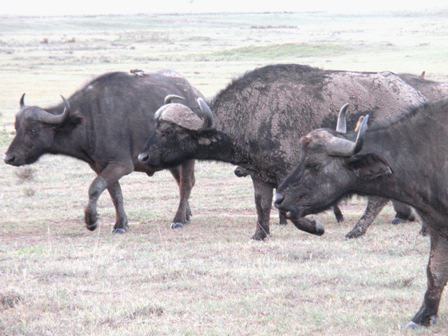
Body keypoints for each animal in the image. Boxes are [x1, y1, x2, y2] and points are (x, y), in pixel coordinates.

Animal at [3, 70, 203, 234]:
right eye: (17, 128)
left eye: (33, 130)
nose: (9, 157)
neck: (88, 118)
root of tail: (195, 95)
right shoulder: (100, 166)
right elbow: (115, 194)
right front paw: (120, 224)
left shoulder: (121, 165)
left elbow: (95, 188)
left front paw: (91, 220)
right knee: (182, 183)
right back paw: (186, 215)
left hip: (187, 158)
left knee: (186, 185)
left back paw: (178, 220)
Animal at [136, 64, 424, 240]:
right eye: (156, 126)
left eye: (167, 131)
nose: (142, 157)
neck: (251, 114)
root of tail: (415, 97)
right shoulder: (259, 174)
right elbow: (262, 204)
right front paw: (260, 235)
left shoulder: (292, 172)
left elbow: (288, 206)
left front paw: (314, 226)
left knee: (380, 198)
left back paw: (359, 230)